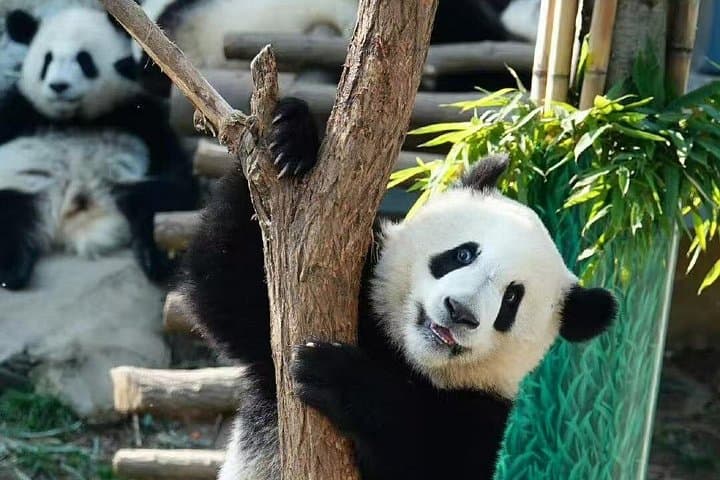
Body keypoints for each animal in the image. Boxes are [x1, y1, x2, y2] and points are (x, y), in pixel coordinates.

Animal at [0, 7, 195, 290]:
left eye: (84, 60)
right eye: (47, 60)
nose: (59, 86)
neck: (76, 120)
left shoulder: (139, 114)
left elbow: (173, 164)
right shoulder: (20, 111)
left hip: (129, 185)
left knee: (157, 201)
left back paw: (158, 258)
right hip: (25, 185)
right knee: (10, 213)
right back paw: (11, 270)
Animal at [179, 98, 617, 480]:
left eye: (512, 299)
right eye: (463, 254)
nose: (459, 311)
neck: (404, 355)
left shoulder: (480, 412)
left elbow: (423, 455)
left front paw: (336, 375)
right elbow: (230, 290)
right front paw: (291, 136)